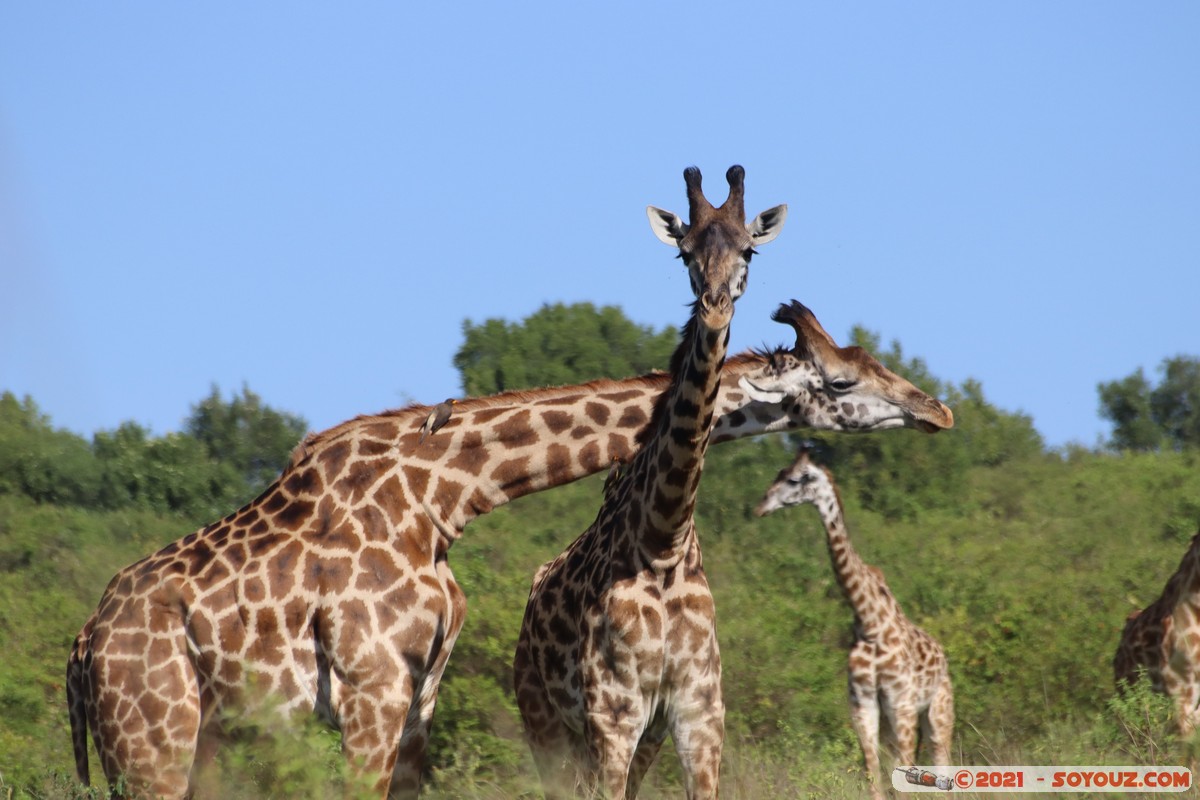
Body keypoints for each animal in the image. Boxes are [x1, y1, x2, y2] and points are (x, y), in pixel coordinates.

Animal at [516, 164, 787, 800]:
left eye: (749, 250)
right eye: (684, 252)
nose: (714, 307)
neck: (664, 538)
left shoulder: (697, 715)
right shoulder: (613, 714)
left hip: (633, 738)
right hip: (547, 724)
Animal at [748, 450, 955, 800]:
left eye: (794, 479)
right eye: (778, 473)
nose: (759, 507)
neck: (870, 622)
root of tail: (943, 657)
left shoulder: (901, 703)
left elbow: (904, 772)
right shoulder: (863, 703)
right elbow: (873, 770)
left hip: (938, 711)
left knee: (942, 760)